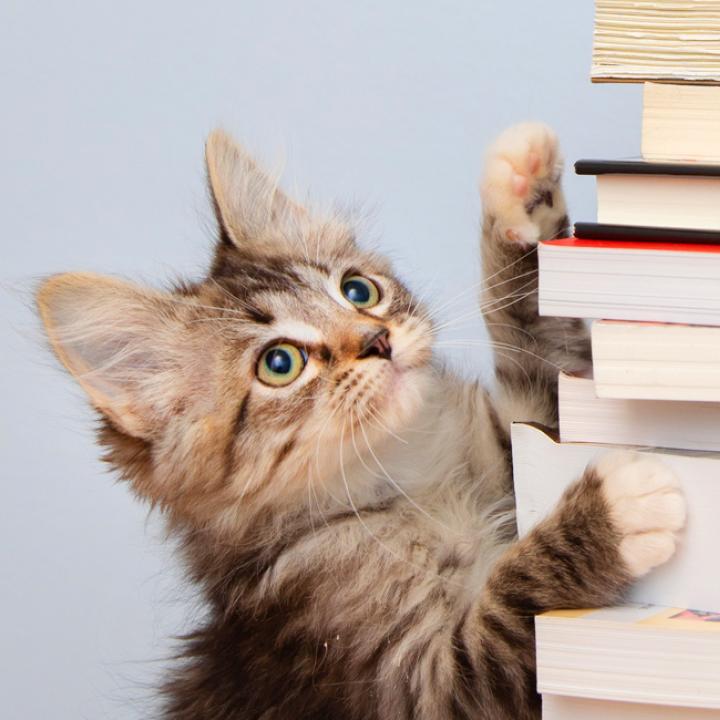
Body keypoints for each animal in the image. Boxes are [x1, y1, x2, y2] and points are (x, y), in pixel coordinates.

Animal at [35, 125, 688, 720]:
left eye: (358, 291)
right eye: (279, 364)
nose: (378, 340)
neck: (414, 482)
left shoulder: (520, 442)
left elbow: (542, 347)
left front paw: (518, 193)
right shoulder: (425, 684)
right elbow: (512, 604)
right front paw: (616, 507)